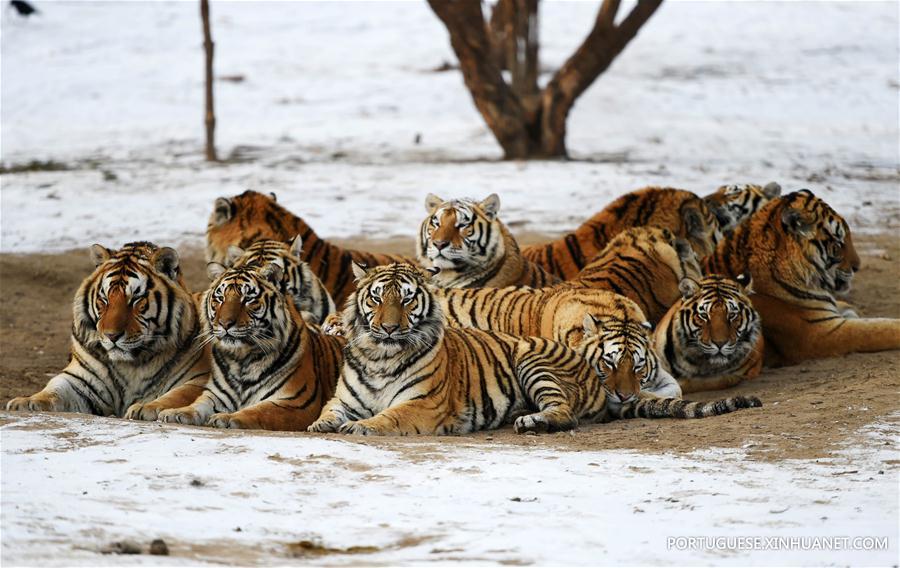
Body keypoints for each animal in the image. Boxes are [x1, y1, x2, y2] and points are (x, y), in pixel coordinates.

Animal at [6, 242, 209, 418]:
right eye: (104, 299)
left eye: (136, 300)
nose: (112, 336)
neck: (132, 365)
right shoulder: (81, 379)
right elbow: (54, 388)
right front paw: (26, 402)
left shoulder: (199, 379)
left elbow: (178, 394)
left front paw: (146, 407)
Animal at [157, 261, 344, 431]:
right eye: (220, 298)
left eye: (248, 299)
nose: (225, 323)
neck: (241, 359)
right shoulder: (215, 395)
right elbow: (197, 405)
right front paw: (175, 412)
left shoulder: (295, 403)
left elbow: (259, 411)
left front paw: (226, 417)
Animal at [307, 263, 761, 436]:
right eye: (377, 297)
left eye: (405, 299)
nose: (388, 327)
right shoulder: (343, 399)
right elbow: (328, 413)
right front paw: (321, 425)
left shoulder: (423, 405)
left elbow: (389, 417)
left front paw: (363, 426)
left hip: (532, 361)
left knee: (565, 413)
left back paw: (532, 421)